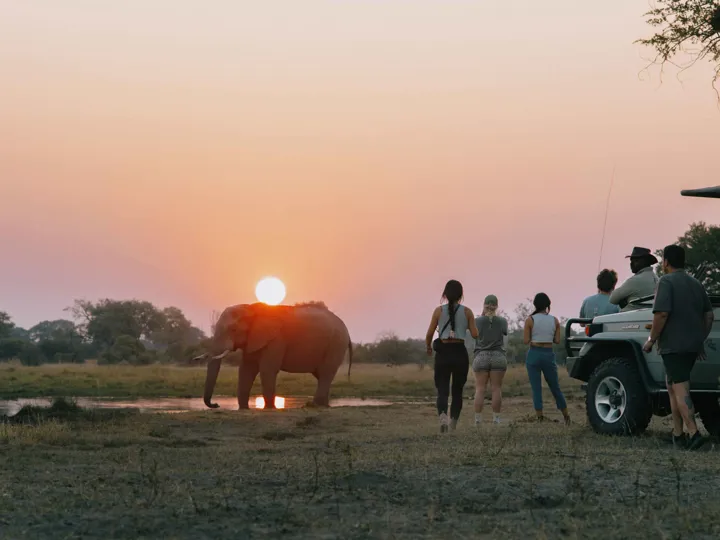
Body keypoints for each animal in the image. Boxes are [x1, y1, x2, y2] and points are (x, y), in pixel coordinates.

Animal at [196, 302, 352, 410]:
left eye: (233, 329)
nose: (216, 404)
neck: (251, 308)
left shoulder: (276, 340)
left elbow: (267, 370)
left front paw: (270, 408)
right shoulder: (253, 339)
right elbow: (246, 370)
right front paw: (244, 409)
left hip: (336, 344)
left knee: (326, 372)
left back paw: (313, 406)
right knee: (322, 375)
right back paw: (323, 406)